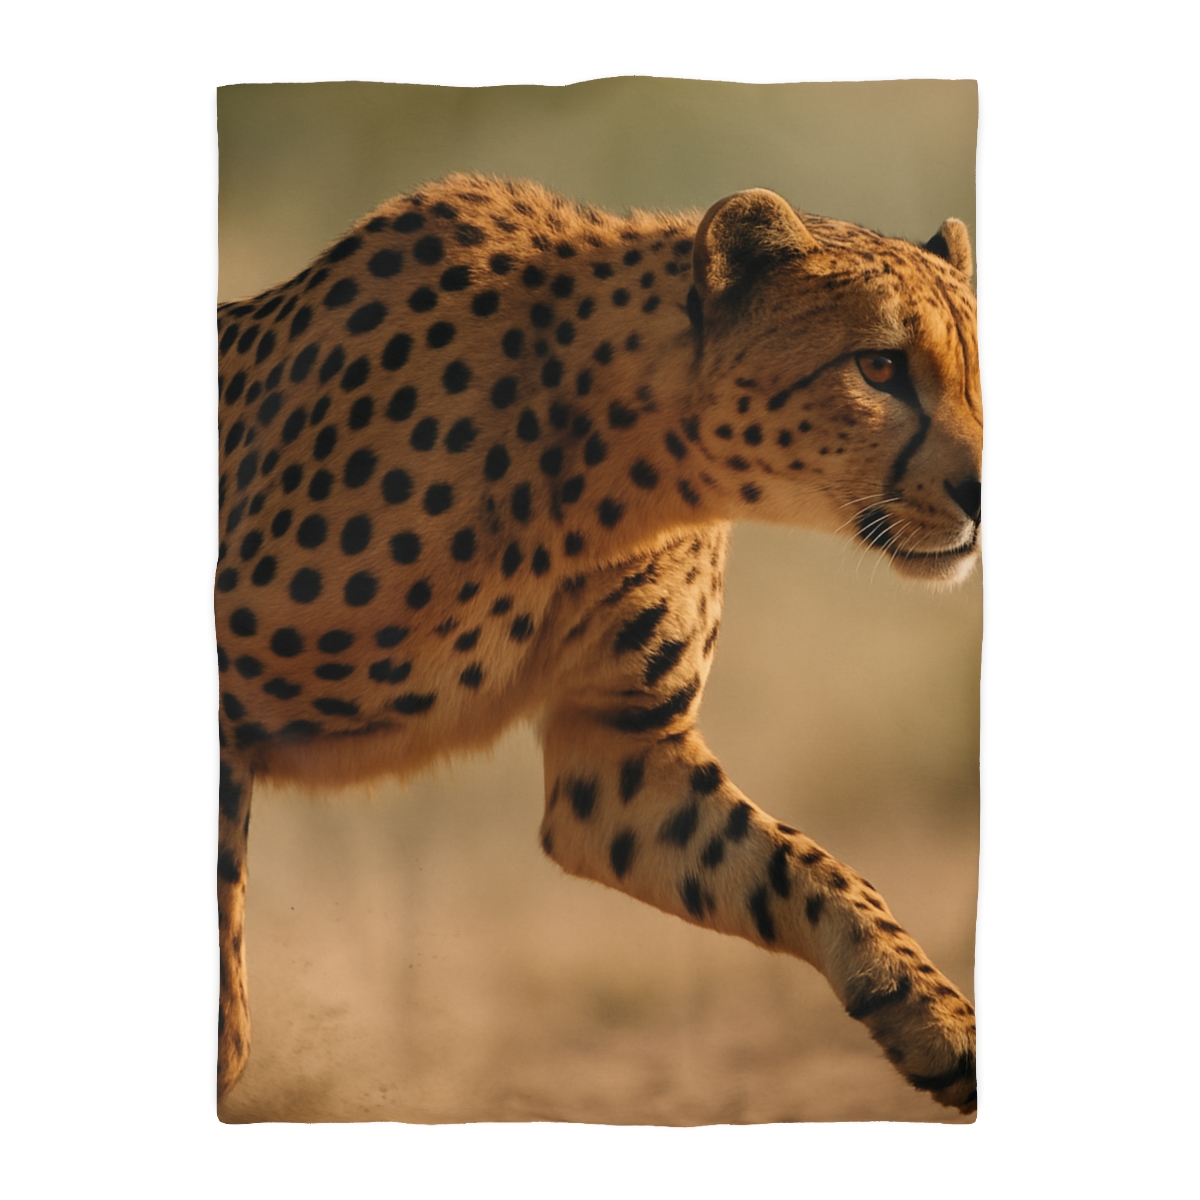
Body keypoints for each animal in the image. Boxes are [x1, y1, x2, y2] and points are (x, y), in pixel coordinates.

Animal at [215, 173, 982, 1114]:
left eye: (977, 371)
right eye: (879, 367)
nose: (982, 494)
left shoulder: (618, 756)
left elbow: (809, 869)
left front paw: (937, 1019)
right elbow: (222, 973)